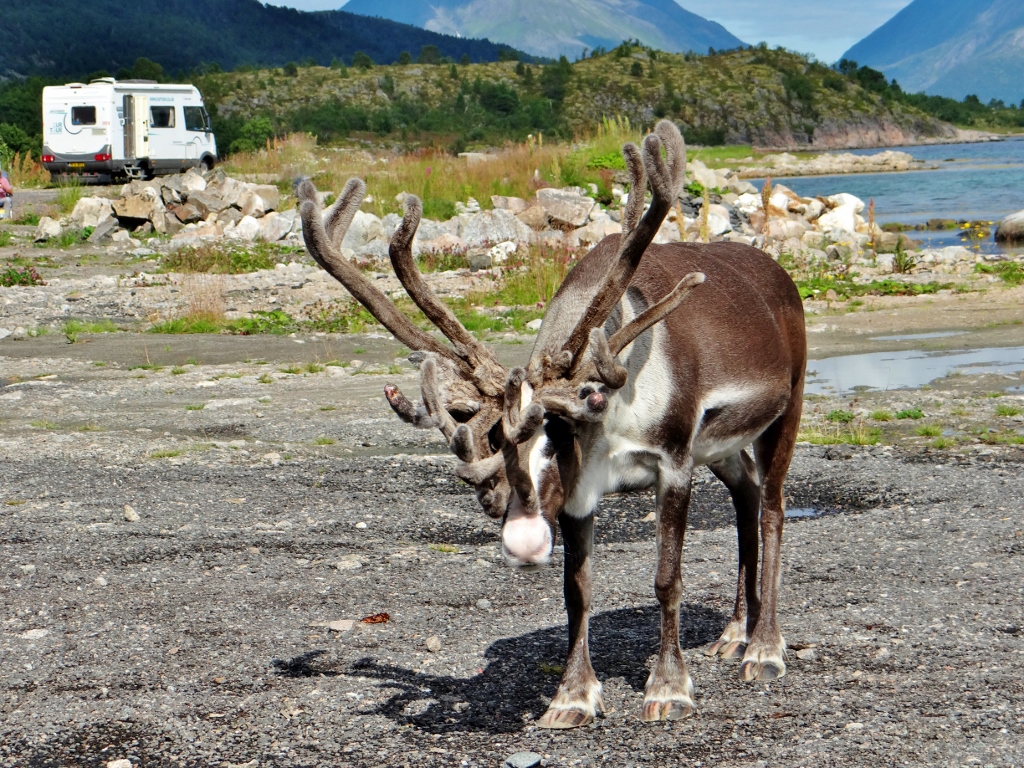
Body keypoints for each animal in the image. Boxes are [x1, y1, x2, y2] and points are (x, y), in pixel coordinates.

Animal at [296, 120, 807, 729]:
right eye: (492, 438)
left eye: (555, 432)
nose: (520, 533)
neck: (609, 417)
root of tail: (778, 272)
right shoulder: (583, 490)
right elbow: (576, 590)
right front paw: (572, 697)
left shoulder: (674, 459)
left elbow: (667, 579)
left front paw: (668, 687)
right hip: (724, 446)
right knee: (746, 495)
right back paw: (734, 633)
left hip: (787, 406)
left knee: (773, 508)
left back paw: (765, 648)